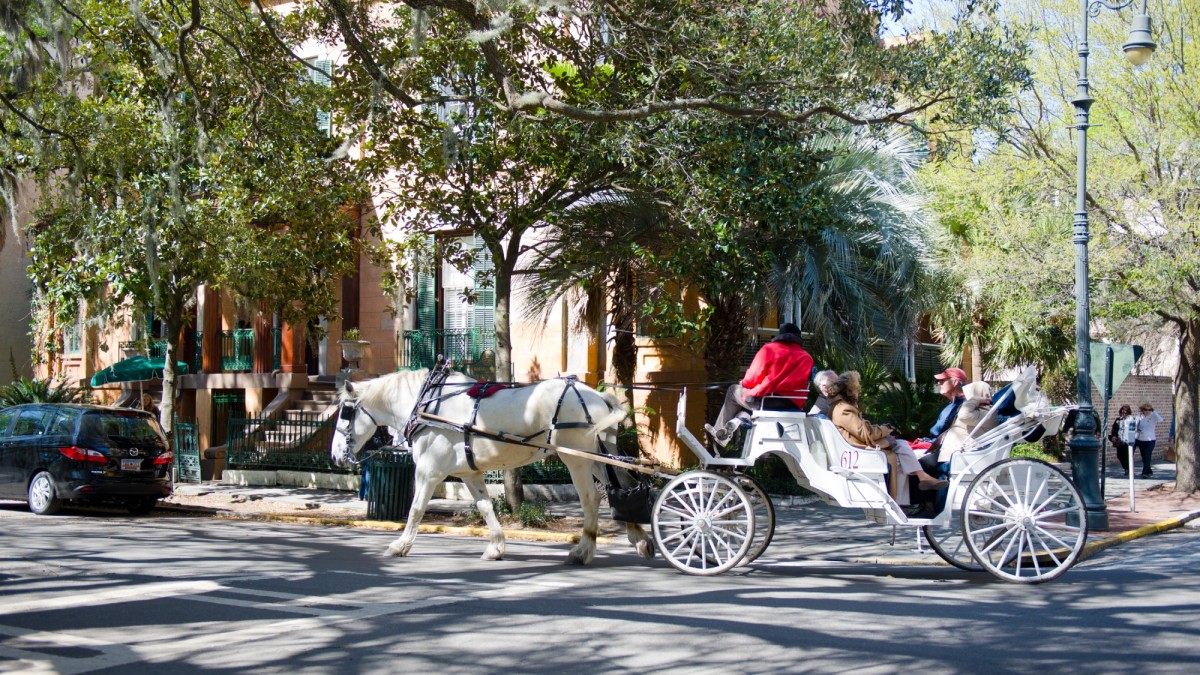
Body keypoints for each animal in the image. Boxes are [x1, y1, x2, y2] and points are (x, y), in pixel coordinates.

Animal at [331, 367, 657, 562]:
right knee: (622, 487)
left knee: (590, 500)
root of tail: (596, 395)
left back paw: (584, 550)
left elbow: (416, 510)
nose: (335, 456)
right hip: (600, 455)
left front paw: (400, 546)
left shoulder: (428, 472)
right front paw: (496, 546)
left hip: (576, 457)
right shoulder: (469, 473)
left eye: (345, 412)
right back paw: (639, 539)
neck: (426, 405)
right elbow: (485, 507)